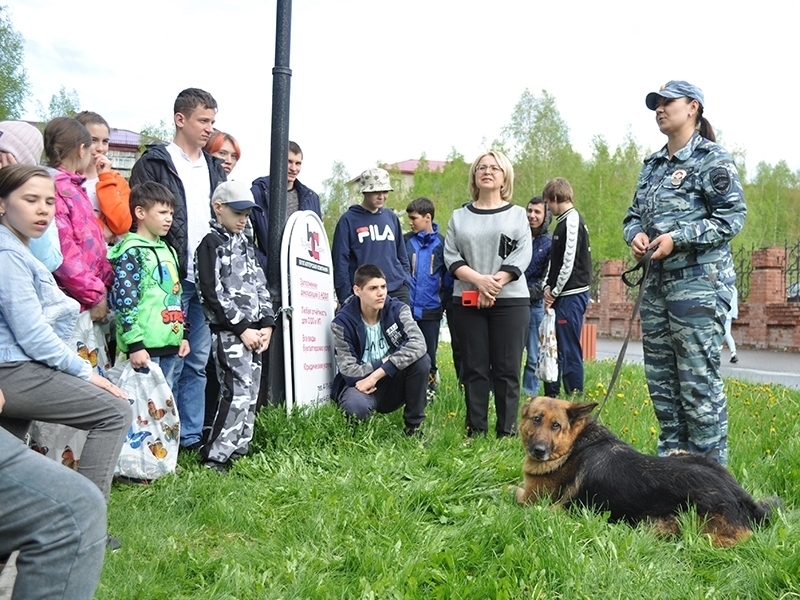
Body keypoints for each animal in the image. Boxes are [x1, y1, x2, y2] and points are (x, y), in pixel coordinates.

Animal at [516, 396, 780, 548]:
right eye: (536, 419)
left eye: (556, 426)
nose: (539, 451)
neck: (575, 444)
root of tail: (742, 497)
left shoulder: (533, 501)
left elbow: (512, 492)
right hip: (680, 453)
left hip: (681, 528)